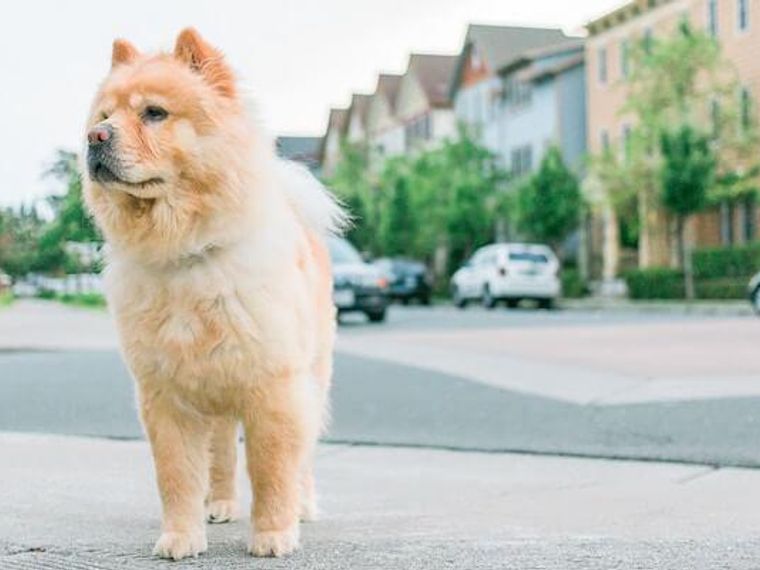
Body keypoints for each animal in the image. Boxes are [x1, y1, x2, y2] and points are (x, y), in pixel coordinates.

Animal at [82, 28, 344, 556]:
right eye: (104, 117)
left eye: (154, 113)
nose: (95, 138)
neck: (187, 251)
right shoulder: (166, 397)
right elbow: (178, 476)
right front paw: (180, 538)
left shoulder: (273, 387)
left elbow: (272, 468)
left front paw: (273, 535)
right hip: (216, 396)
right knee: (221, 454)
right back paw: (219, 506)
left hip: (310, 378)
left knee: (302, 457)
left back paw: (304, 507)